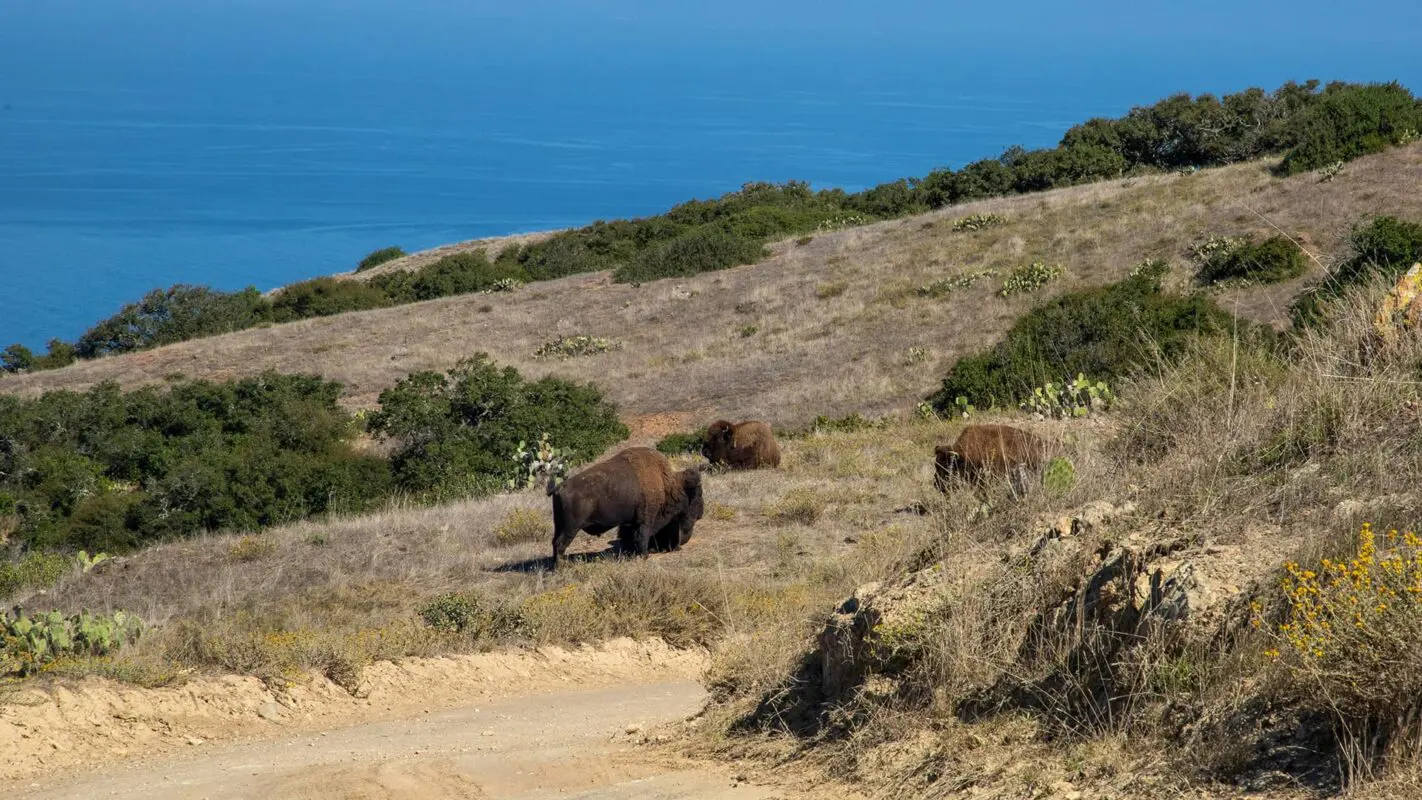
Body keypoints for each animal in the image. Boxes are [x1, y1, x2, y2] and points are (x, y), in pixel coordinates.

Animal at [546, 449, 702, 565]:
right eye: (698, 494)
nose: (700, 513)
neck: (668, 484)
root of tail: (559, 487)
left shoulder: (631, 522)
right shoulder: (645, 519)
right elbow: (642, 535)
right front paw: (644, 555)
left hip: (559, 525)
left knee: (554, 542)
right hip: (571, 527)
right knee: (560, 544)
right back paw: (563, 566)